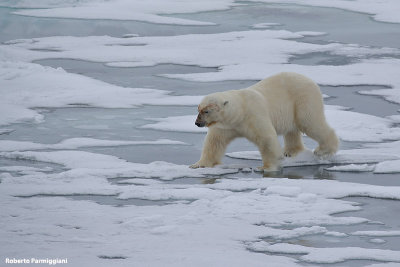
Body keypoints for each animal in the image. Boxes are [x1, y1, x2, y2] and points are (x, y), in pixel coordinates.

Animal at [190, 71, 338, 172]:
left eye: (206, 111)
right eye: (198, 109)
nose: (197, 123)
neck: (240, 111)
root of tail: (308, 78)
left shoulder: (253, 115)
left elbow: (266, 139)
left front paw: (266, 167)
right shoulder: (226, 126)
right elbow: (214, 142)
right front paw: (198, 164)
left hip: (303, 98)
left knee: (310, 122)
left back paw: (322, 150)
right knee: (292, 130)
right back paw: (290, 152)